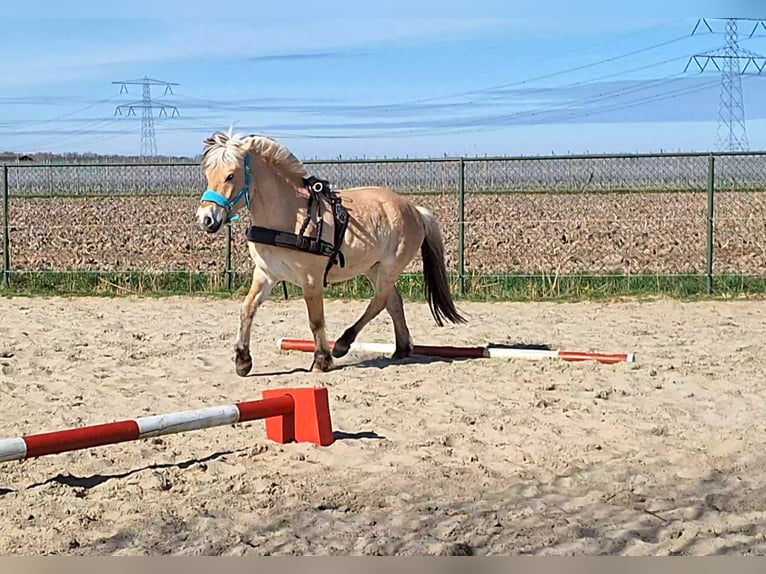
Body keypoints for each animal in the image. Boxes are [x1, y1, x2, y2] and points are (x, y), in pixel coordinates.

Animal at [195, 130, 466, 375]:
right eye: (207, 174)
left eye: (231, 175)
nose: (206, 219)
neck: (289, 215)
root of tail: (415, 209)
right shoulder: (266, 274)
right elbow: (247, 309)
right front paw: (243, 361)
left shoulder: (311, 279)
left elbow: (316, 320)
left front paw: (322, 360)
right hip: (373, 267)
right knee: (393, 302)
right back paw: (400, 349)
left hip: (390, 267)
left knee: (379, 301)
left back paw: (343, 344)